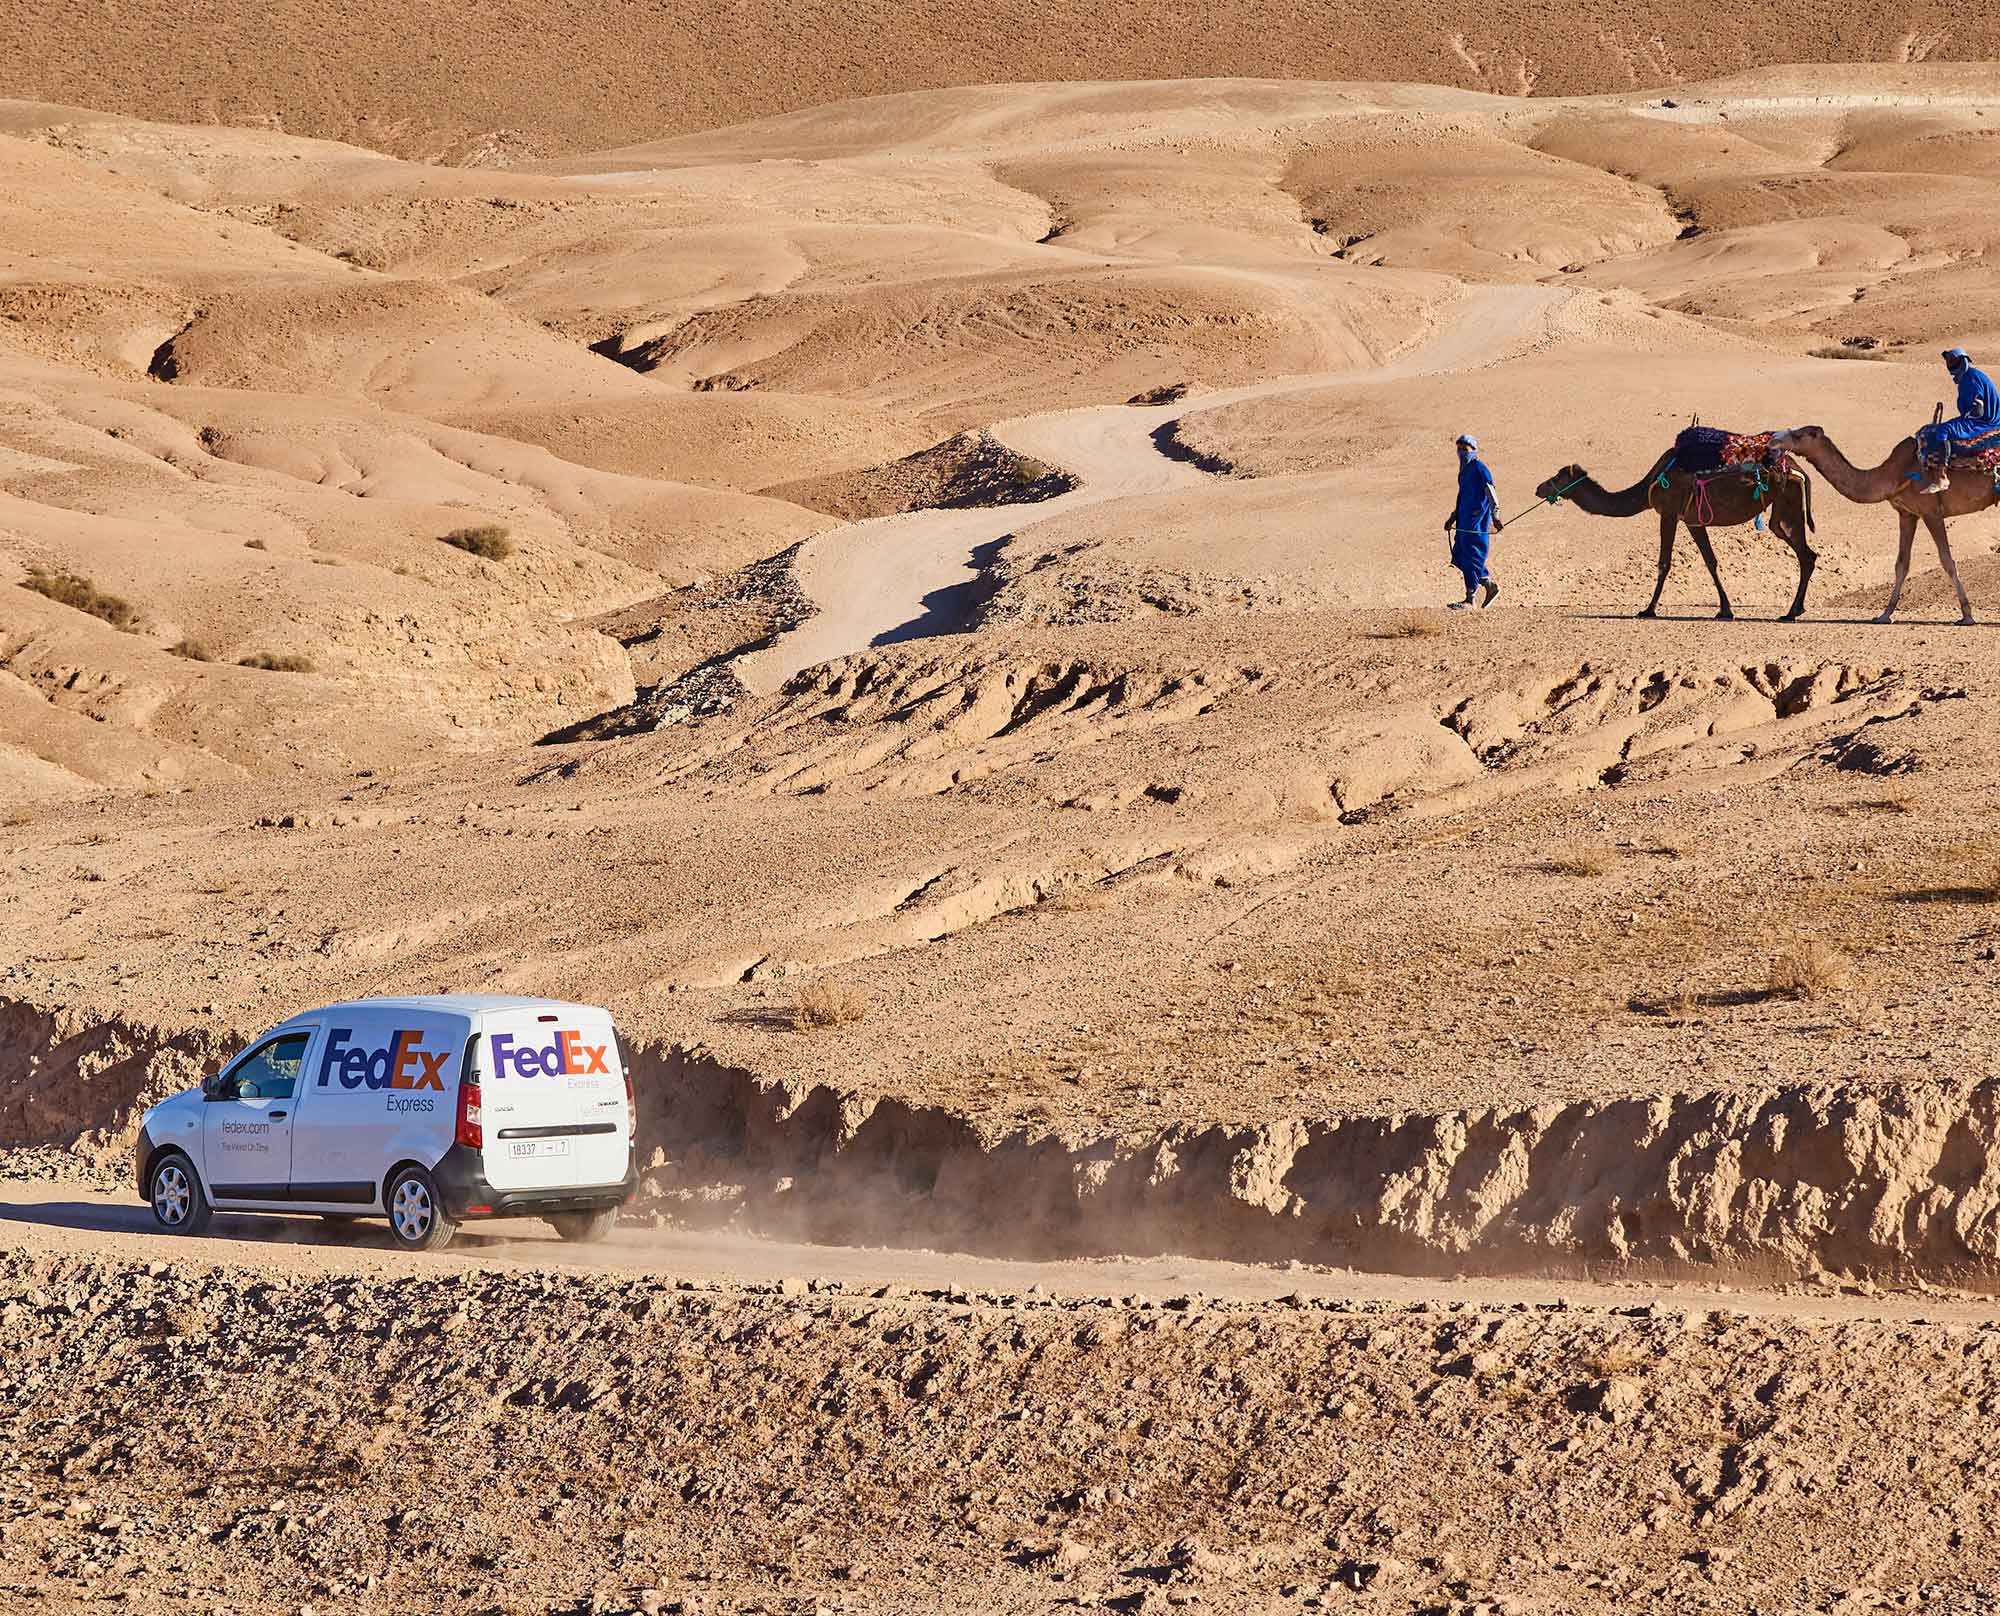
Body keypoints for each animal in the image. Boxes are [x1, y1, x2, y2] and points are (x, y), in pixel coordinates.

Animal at [1528, 452, 1816, 620]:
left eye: (1558, 476)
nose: (1539, 488)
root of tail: (1798, 469)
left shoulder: (1667, 512)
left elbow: (1664, 562)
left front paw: (1648, 610)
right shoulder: (1693, 521)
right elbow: (1710, 561)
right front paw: (1725, 610)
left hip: (1788, 498)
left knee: (1804, 553)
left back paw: (1791, 613)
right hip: (1784, 506)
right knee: (1806, 553)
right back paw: (1795, 609)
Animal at [1776, 426, 1992, 628]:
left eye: (1798, 435)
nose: (1773, 441)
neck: (1894, 474)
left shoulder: (1931, 512)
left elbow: (1947, 561)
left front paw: (1967, 616)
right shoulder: (1907, 514)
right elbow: (1901, 564)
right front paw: (1884, 615)